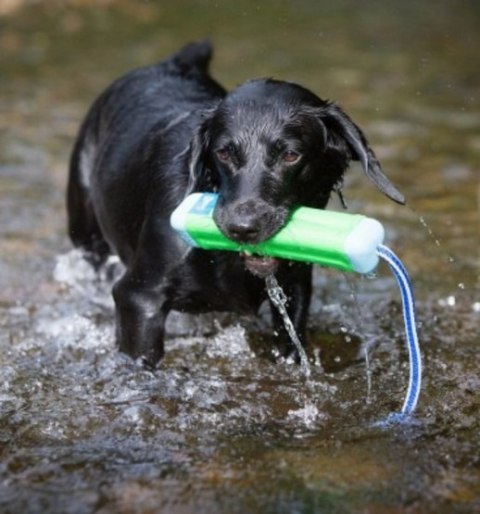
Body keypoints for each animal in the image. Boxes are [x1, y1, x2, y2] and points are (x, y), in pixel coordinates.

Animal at [68, 42, 404, 366]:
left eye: (290, 155)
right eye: (223, 153)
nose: (242, 228)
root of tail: (171, 62)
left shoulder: (295, 289)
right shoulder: (139, 298)